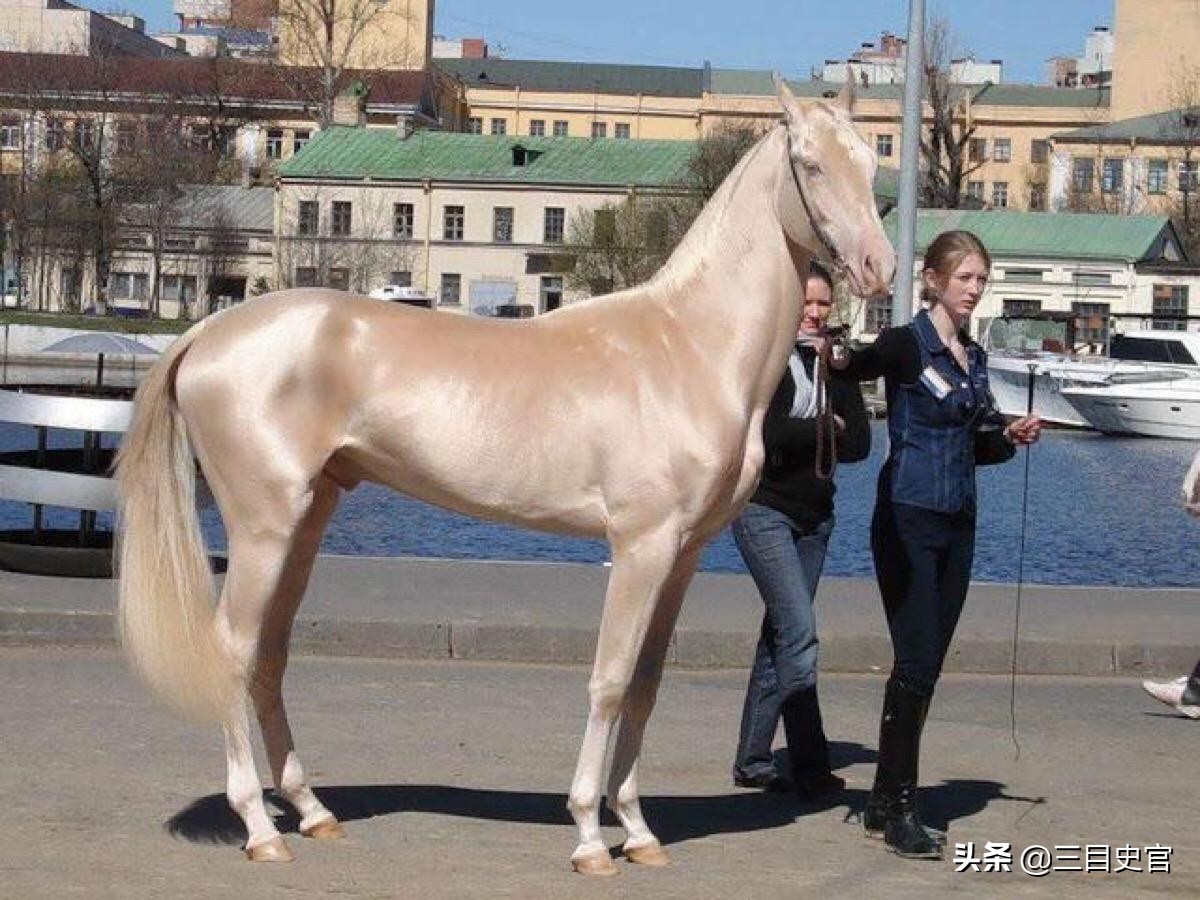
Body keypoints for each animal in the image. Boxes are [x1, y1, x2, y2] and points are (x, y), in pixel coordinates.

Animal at [115, 77, 894, 876]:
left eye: (870, 162)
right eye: (810, 164)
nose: (878, 267)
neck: (687, 346)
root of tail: (208, 332)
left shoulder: (681, 557)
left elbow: (645, 685)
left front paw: (638, 829)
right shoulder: (640, 546)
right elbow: (610, 681)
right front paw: (589, 837)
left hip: (306, 521)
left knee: (270, 653)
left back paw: (311, 812)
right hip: (263, 527)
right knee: (233, 651)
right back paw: (260, 827)